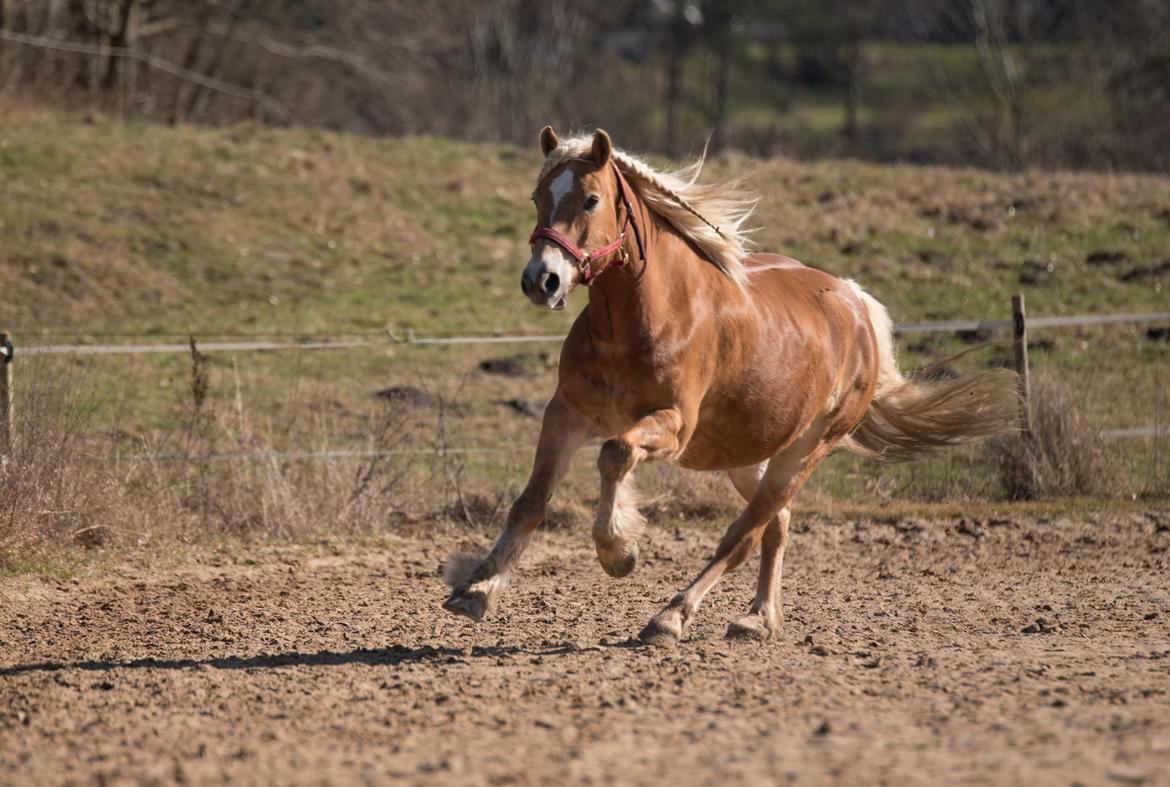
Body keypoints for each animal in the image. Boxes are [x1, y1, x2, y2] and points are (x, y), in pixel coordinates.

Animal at [439, 127, 1015, 645]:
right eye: (538, 197)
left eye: (590, 199)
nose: (542, 280)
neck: (643, 317)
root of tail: (855, 305)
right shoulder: (566, 414)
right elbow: (531, 502)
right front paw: (476, 589)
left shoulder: (672, 428)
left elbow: (615, 454)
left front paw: (619, 551)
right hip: (748, 453)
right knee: (778, 523)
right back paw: (757, 619)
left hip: (805, 452)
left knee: (744, 534)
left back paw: (671, 618)